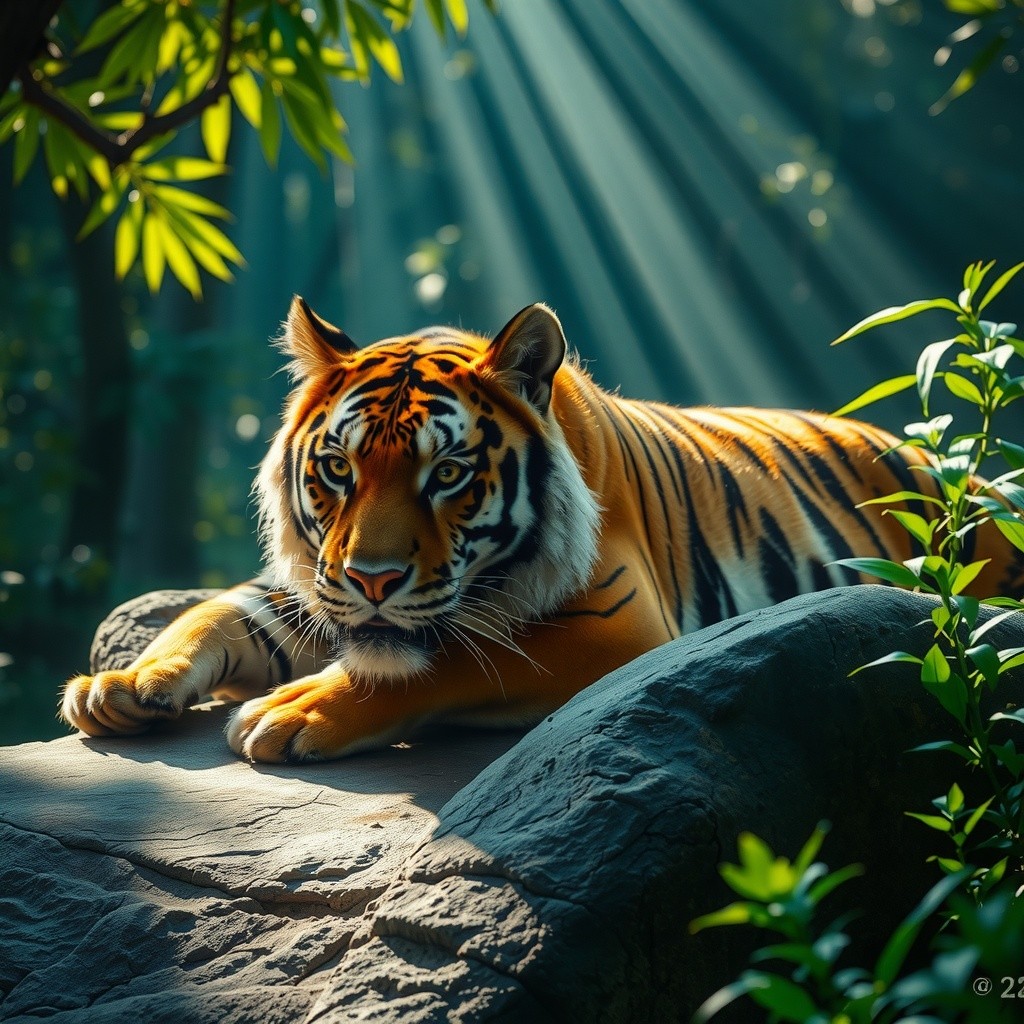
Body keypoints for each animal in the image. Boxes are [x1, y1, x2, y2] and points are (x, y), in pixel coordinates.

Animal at [60, 299, 1024, 762]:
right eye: (337, 469)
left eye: (447, 474)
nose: (373, 579)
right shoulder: (313, 589)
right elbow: (215, 613)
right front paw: (124, 682)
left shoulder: (618, 629)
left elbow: (445, 662)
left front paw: (292, 710)